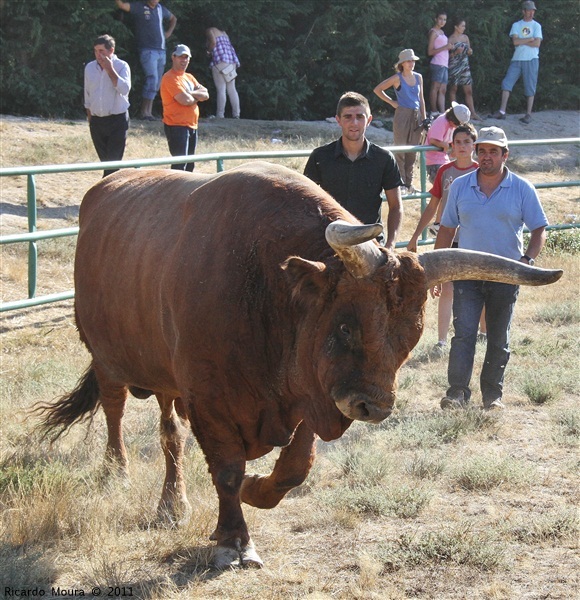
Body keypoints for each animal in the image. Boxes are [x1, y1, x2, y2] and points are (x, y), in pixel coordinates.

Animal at [35, 163, 560, 568]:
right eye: (346, 326)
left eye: (411, 335)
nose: (373, 407)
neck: (270, 290)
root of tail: (104, 188)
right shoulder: (210, 401)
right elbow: (226, 471)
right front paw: (234, 541)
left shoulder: (311, 393)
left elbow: (294, 468)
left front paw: (256, 488)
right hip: (106, 356)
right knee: (117, 410)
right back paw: (117, 471)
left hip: (167, 380)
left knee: (169, 433)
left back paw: (172, 502)